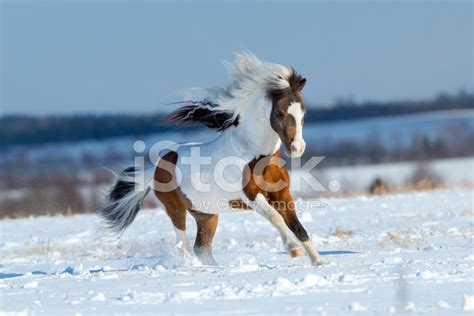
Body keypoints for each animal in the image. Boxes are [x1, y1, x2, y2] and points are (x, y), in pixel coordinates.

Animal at [101, 52, 324, 266]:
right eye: (279, 113)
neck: (257, 157)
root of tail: (156, 167)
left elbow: (297, 226)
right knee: (184, 246)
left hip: (206, 214)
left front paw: (318, 261)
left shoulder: (282, 196)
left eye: (303, 112)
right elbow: (275, 218)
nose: (297, 148)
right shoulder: (251, 196)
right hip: (176, 210)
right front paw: (293, 250)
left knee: (202, 248)